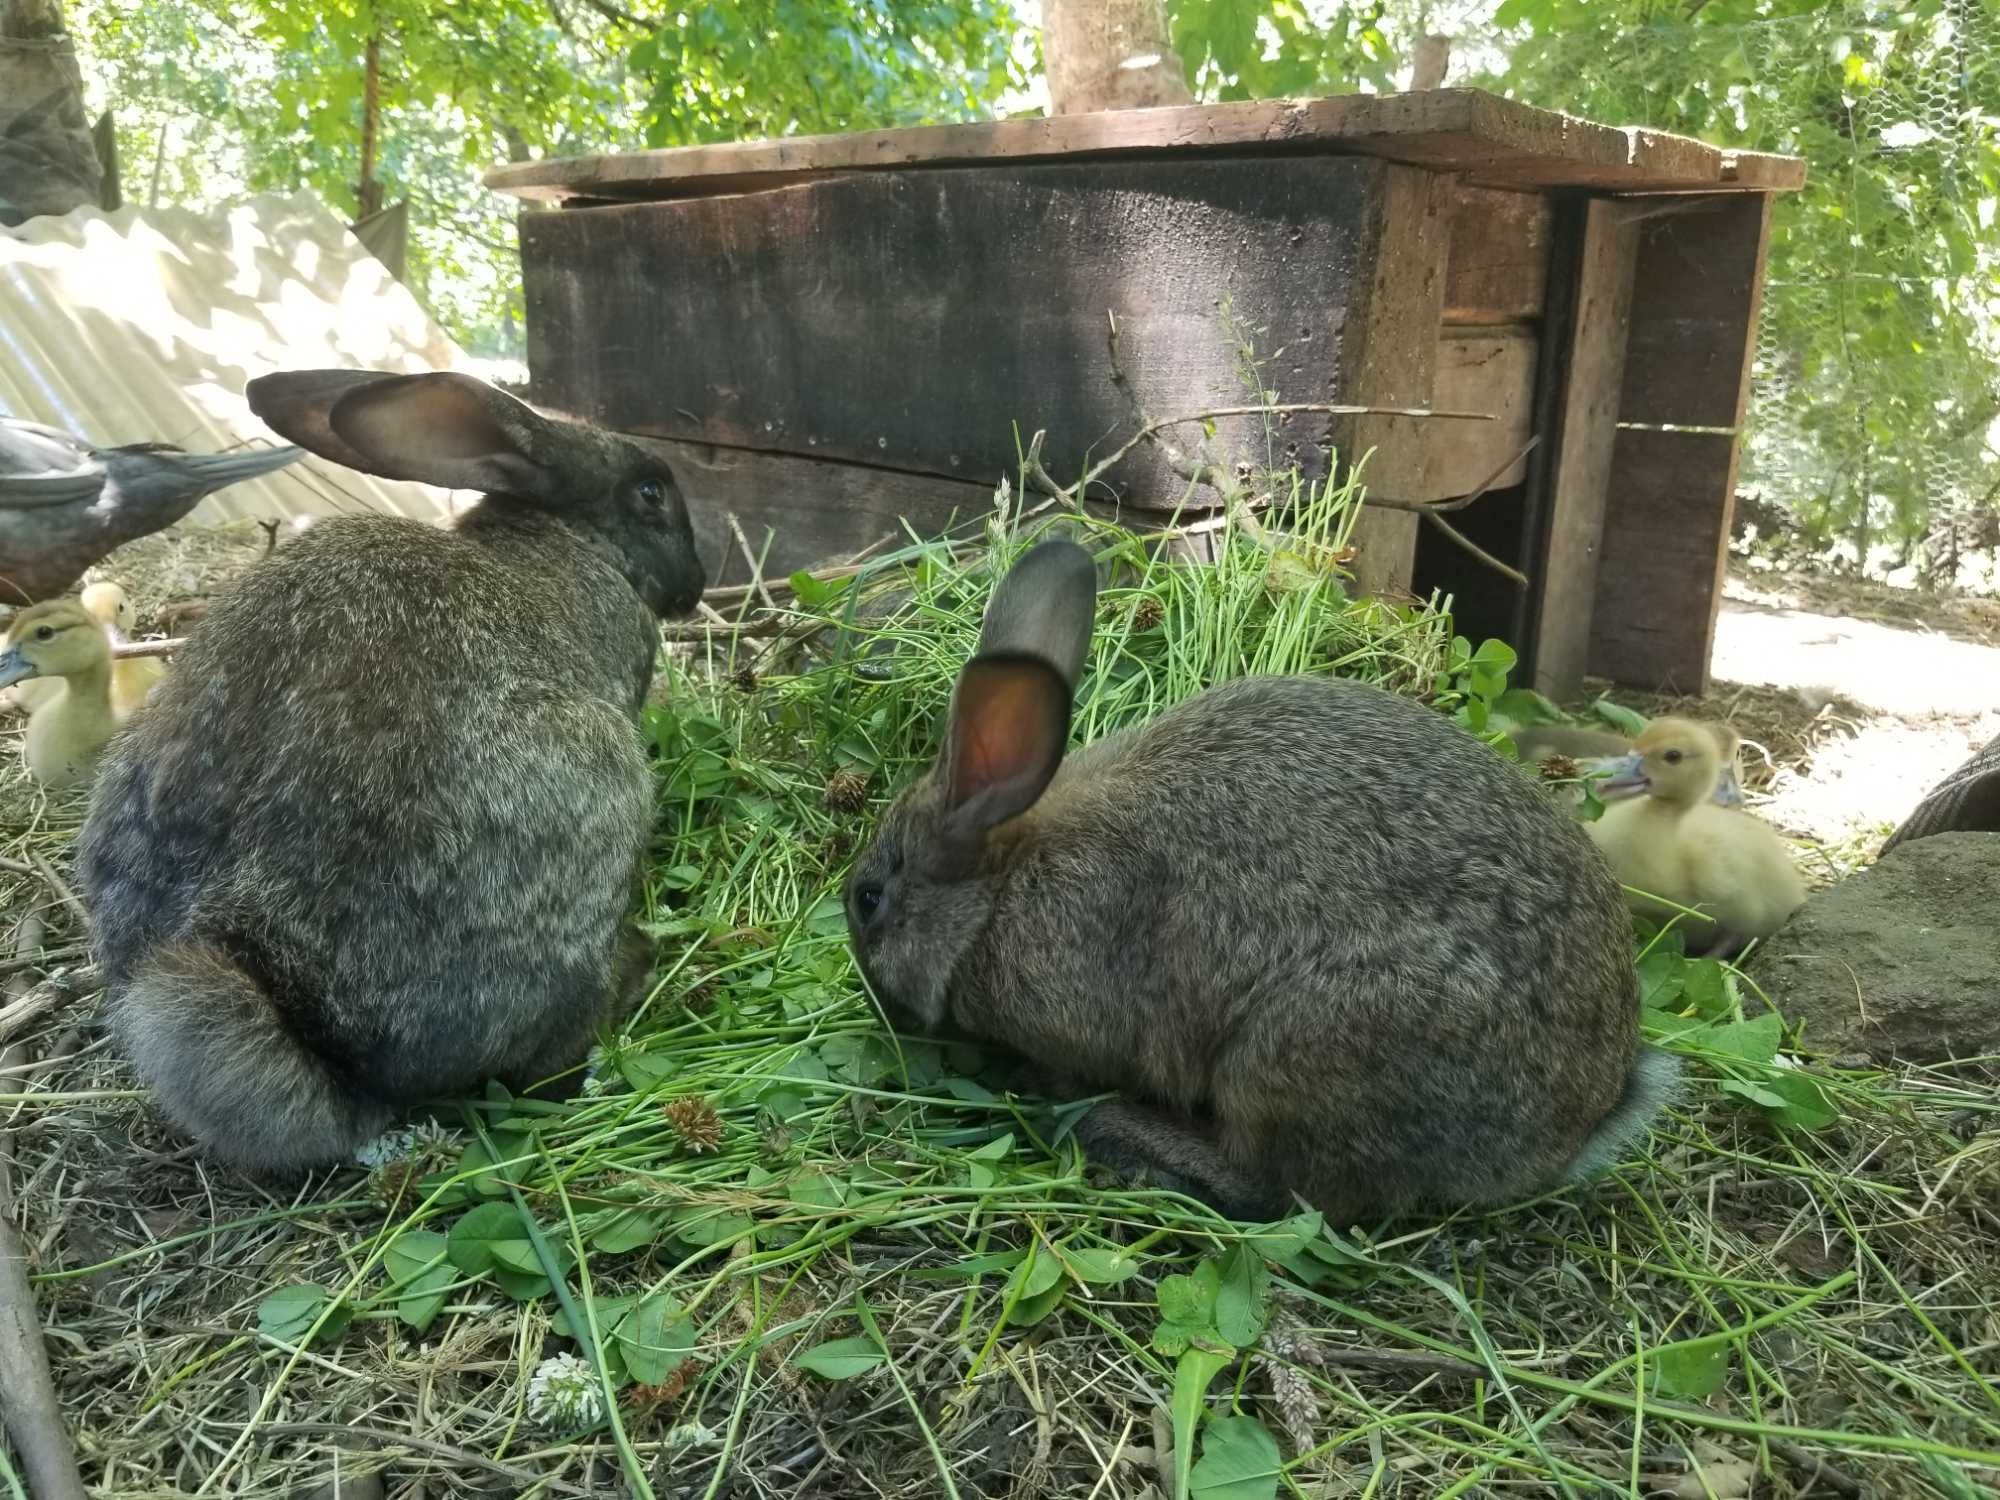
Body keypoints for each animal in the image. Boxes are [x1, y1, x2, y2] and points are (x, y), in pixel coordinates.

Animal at [852, 536, 1680, 1224]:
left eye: (869, 900)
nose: (870, 995)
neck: (1000, 886)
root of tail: (1581, 1120)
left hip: (1297, 1055)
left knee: (1282, 1192)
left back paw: (1117, 1131)